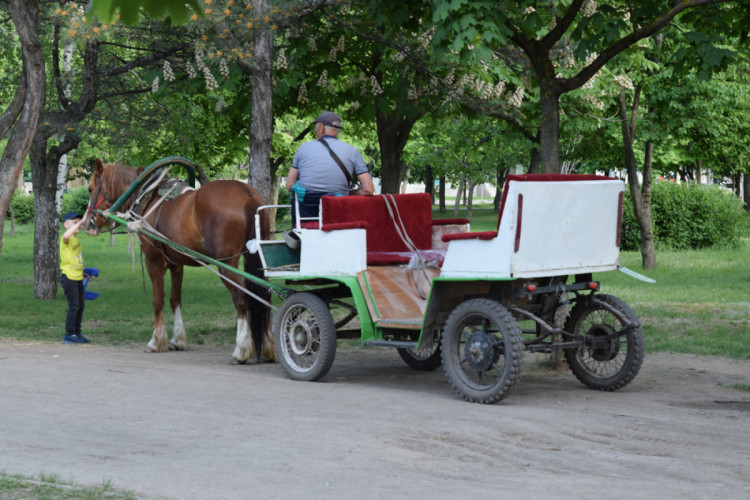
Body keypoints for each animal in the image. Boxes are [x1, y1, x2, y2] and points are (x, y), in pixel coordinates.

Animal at [84, 159, 276, 364]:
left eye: (90, 188)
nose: (87, 224)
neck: (147, 197)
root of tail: (247, 194)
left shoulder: (154, 262)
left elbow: (158, 300)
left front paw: (156, 341)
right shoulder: (176, 264)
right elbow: (175, 299)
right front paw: (177, 340)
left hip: (227, 265)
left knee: (241, 298)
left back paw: (241, 350)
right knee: (265, 296)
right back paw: (268, 347)